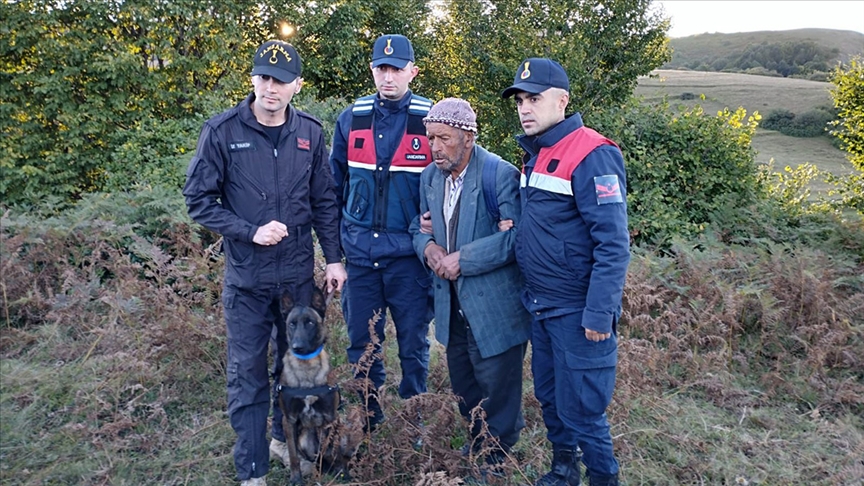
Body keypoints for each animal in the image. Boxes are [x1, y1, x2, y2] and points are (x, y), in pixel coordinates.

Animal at [276, 282, 352, 484]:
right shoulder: (289, 420)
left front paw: (342, 472)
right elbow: (293, 456)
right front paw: (296, 479)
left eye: (310, 322)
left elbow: (333, 449)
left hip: (342, 429)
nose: (297, 347)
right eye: (292, 324)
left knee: (335, 452)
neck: (306, 366)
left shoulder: (331, 417)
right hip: (304, 438)